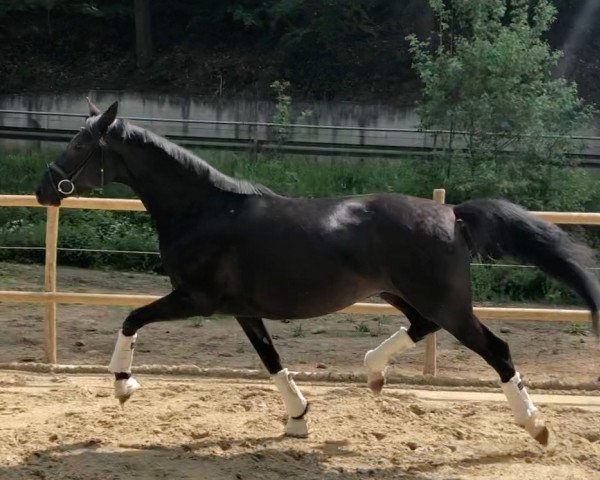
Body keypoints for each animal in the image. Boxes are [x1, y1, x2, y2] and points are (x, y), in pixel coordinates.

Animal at [35, 99, 596, 444]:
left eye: (80, 146)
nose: (44, 190)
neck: (204, 212)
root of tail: (453, 213)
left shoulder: (196, 299)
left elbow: (131, 318)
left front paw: (123, 385)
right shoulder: (242, 310)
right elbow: (271, 360)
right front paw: (299, 419)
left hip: (447, 303)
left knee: (496, 349)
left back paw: (536, 426)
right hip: (402, 294)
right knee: (421, 327)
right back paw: (372, 373)